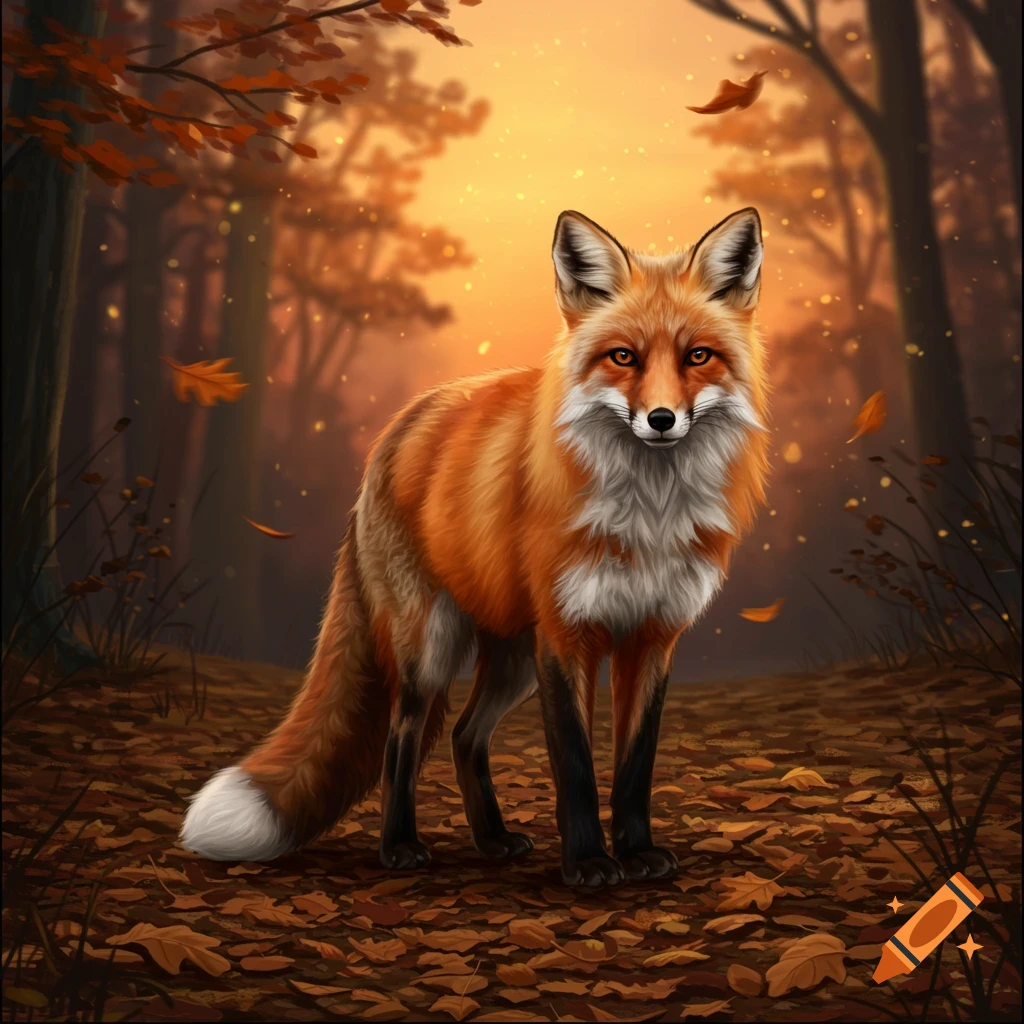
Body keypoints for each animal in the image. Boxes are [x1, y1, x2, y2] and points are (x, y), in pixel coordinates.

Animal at [180, 206, 770, 887]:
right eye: (623, 356)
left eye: (698, 356)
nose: (662, 420)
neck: (648, 513)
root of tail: (398, 427)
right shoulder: (566, 636)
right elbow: (575, 767)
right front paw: (589, 863)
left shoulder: (651, 638)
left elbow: (634, 768)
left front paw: (637, 852)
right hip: (432, 649)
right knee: (402, 738)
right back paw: (399, 846)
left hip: (514, 661)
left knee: (465, 735)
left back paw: (491, 839)